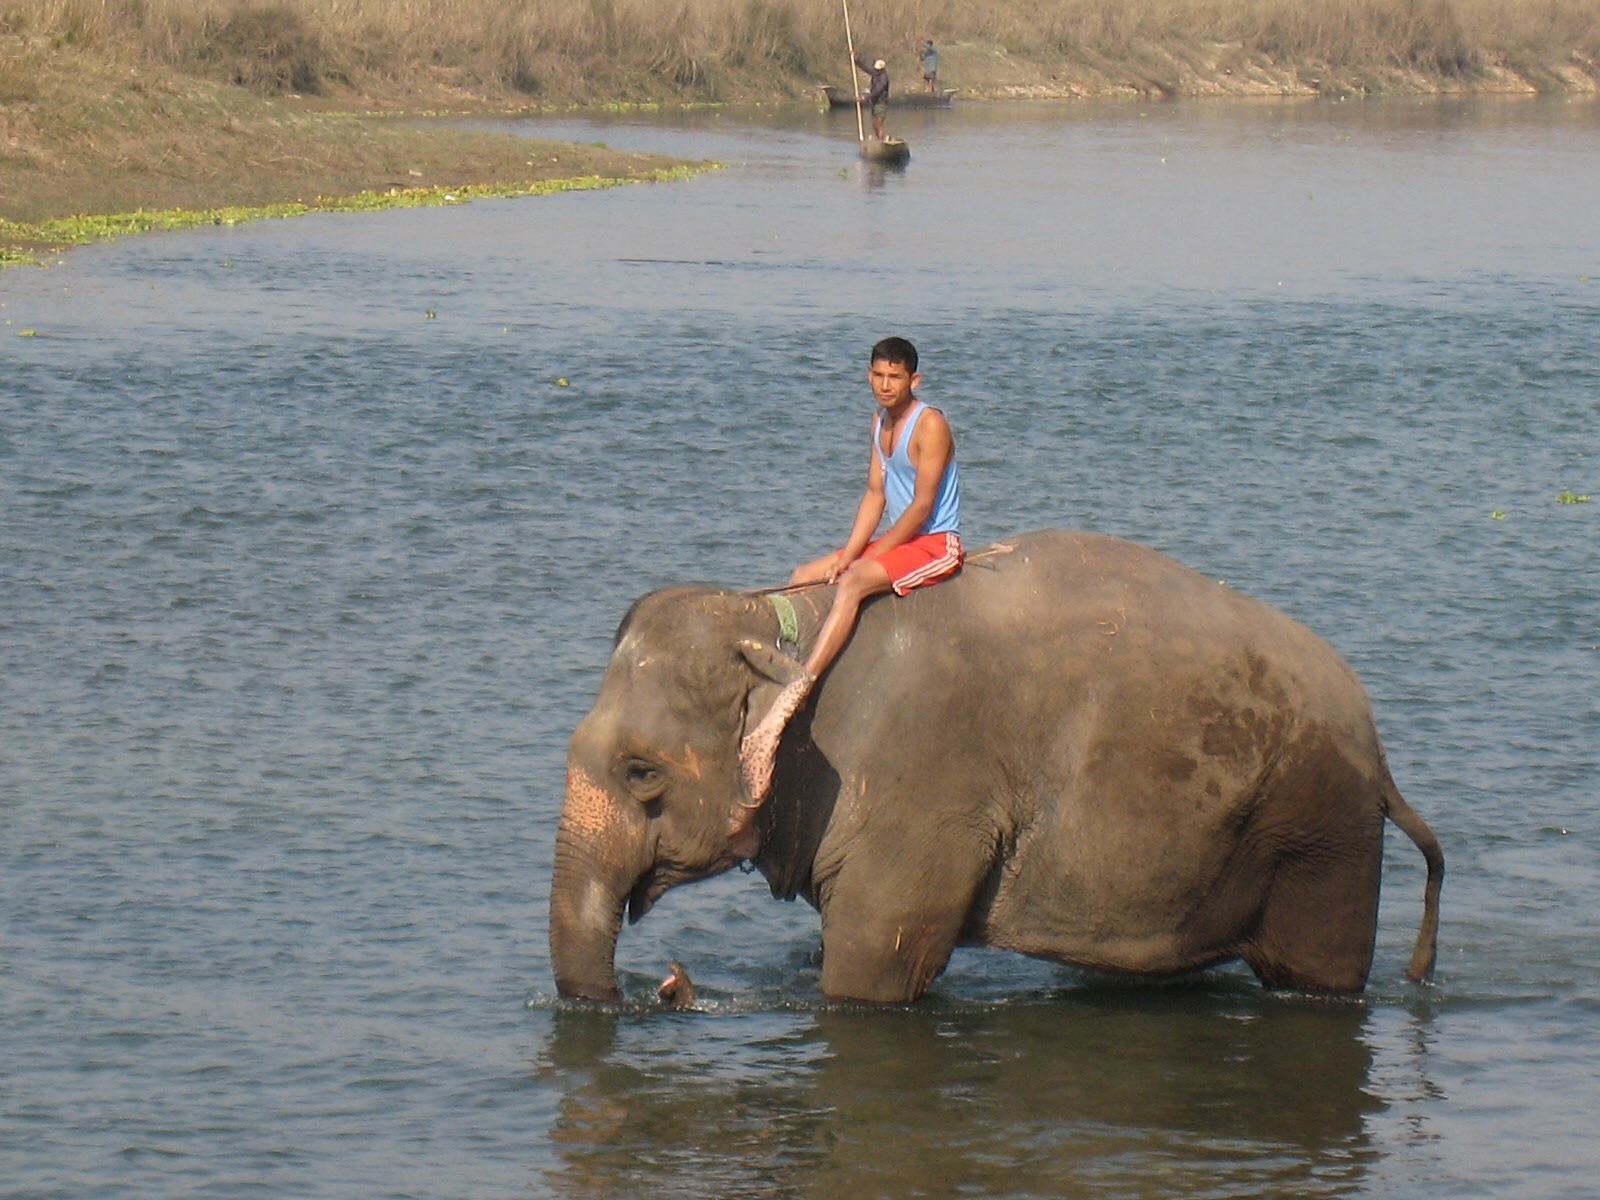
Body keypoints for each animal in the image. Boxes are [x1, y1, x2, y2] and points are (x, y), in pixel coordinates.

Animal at [556, 528, 1446, 1004]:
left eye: (641, 773)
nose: (666, 986)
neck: (772, 617)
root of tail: (1381, 753)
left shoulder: (920, 782)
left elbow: (878, 964)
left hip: (1319, 830)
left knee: (1314, 975)